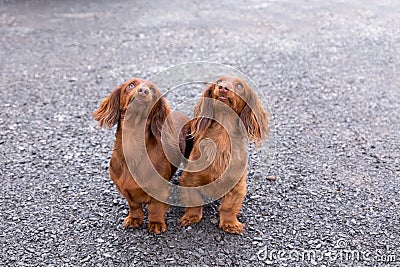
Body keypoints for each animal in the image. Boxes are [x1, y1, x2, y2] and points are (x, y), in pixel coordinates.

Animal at [94, 78, 189, 234]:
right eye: (131, 85)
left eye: (153, 90)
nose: (143, 91)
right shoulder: (125, 190)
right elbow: (134, 206)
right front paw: (134, 219)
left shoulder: (160, 190)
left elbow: (155, 207)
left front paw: (156, 223)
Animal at [180, 75, 268, 234]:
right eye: (219, 81)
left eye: (240, 86)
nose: (223, 87)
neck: (222, 135)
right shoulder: (189, 179)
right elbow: (193, 201)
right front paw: (191, 217)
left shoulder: (236, 184)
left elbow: (229, 206)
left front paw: (230, 224)